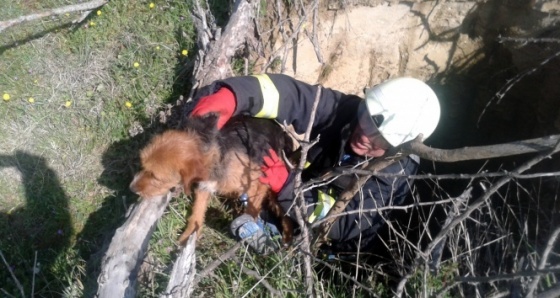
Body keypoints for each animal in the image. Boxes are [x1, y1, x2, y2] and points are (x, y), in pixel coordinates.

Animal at [130, 114, 296, 244]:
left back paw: (288, 240)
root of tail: (281, 131)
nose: (131, 188)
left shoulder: (257, 183)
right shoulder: (204, 186)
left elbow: (251, 210)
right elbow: (197, 213)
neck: (213, 152)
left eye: (155, 176)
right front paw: (189, 236)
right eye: (143, 166)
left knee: (285, 210)